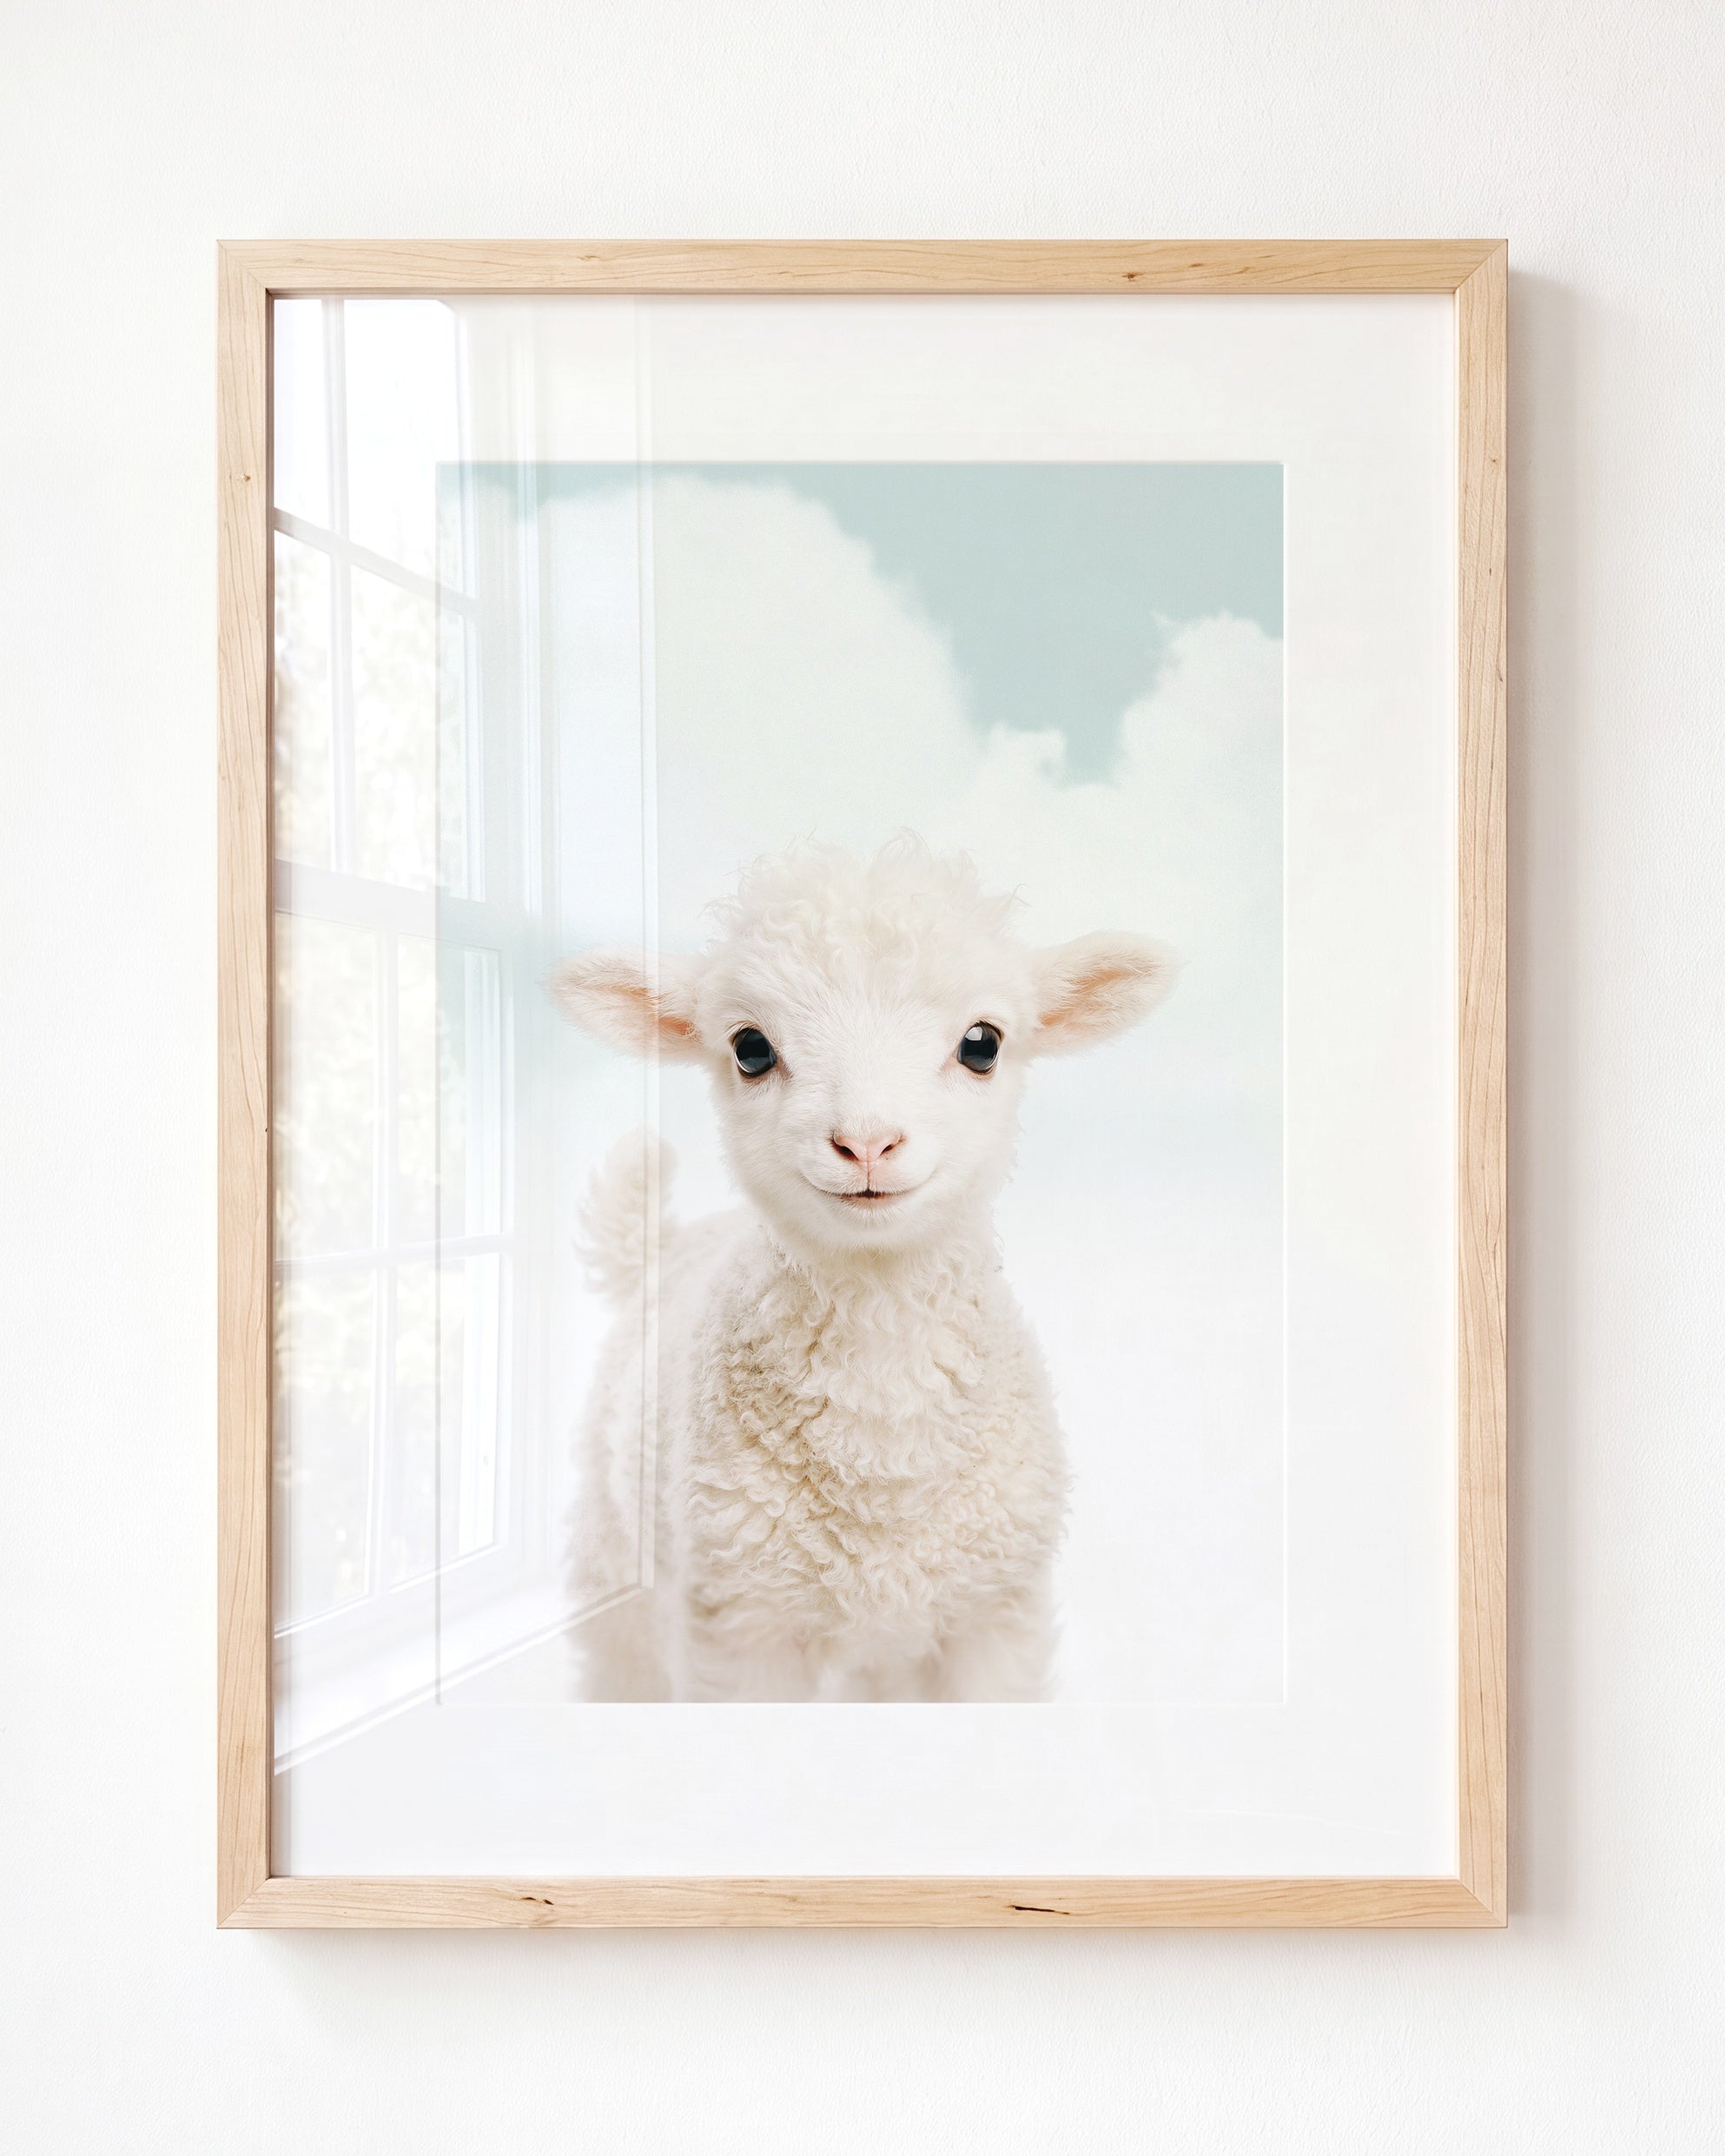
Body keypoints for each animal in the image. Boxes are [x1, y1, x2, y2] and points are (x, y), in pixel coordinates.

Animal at [550, 837, 1172, 1701]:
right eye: (750, 1048)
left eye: (983, 1043)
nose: (867, 1142)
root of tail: (667, 1245)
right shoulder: (740, 1627)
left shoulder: (993, 1617)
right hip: (619, 1572)